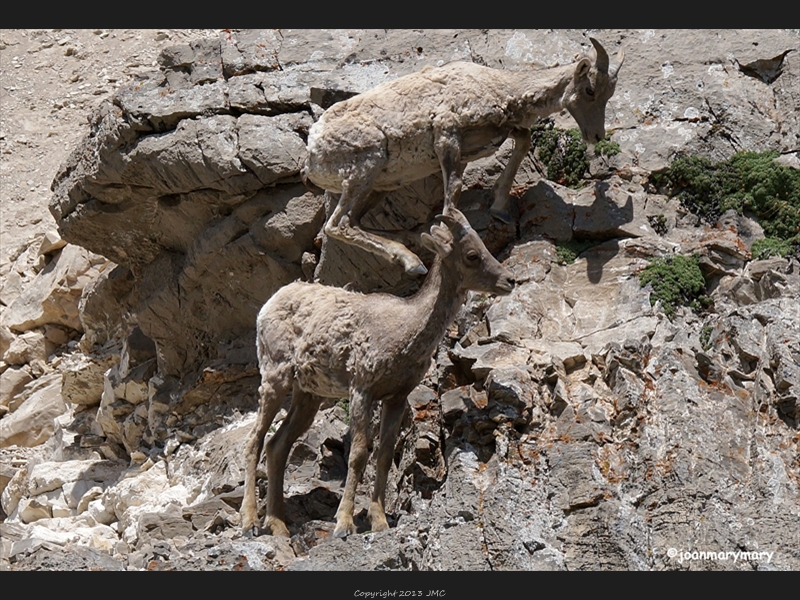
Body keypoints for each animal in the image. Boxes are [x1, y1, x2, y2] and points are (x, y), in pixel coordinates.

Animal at [241, 207, 512, 540]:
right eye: (472, 254)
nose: (510, 280)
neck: (405, 330)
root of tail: (269, 305)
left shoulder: (396, 397)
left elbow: (383, 455)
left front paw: (380, 521)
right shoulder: (362, 389)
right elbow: (359, 454)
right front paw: (344, 525)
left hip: (308, 395)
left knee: (277, 445)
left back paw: (278, 525)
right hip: (275, 377)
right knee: (254, 441)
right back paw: (250, 522)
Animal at [306, 38, 624, 278]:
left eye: (610, 93)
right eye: (590, 90)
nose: (597, 135)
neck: (501, 88)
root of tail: (312, 152)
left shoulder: (484, 141)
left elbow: (522, 141)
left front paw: (499, 207)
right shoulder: (447, 137)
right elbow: (452, 196)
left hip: (379, 186)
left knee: (353, 222)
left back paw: (410, 251)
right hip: (363, 171)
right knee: (338, 225)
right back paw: (414, 263)